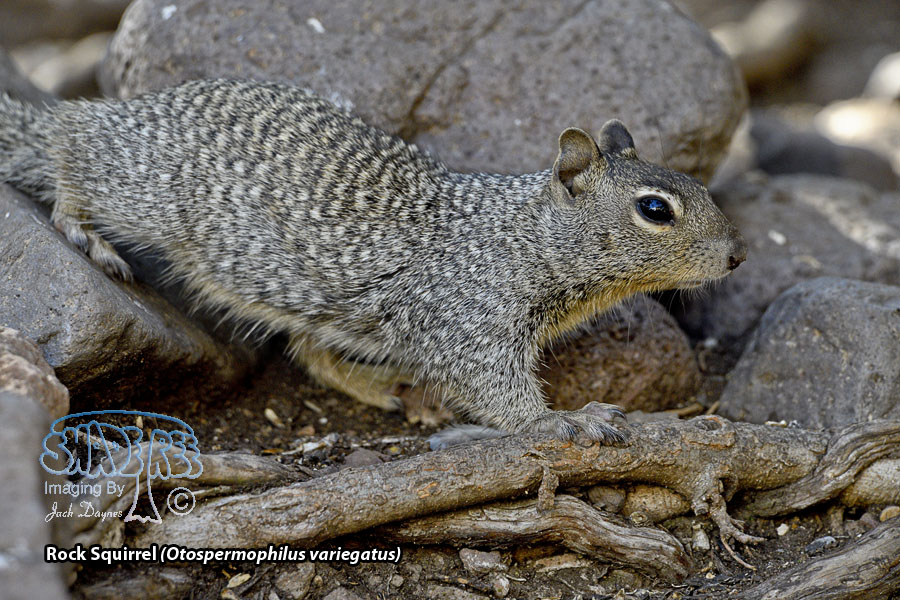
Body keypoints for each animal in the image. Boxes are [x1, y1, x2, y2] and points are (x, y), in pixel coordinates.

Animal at [0, 79, 746, 448]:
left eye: (700, 186)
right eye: (656, 209)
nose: (738, 254)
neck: (517, 237)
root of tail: (136, 110)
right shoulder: (465, 319)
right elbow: (493, 388)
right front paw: (563, 421)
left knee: (310, 350)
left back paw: (382, 386)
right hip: (141, 190)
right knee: (70, 143)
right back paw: (80, 218)